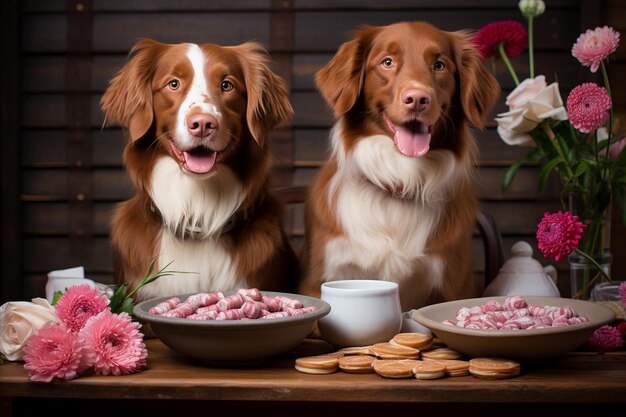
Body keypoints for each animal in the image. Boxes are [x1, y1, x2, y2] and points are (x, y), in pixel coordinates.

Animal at [298, 22, 498, 308]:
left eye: (439, 65)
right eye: (387, 62)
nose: (417, 99)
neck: (400, 180)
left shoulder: (454, 288)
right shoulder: (318, 282)